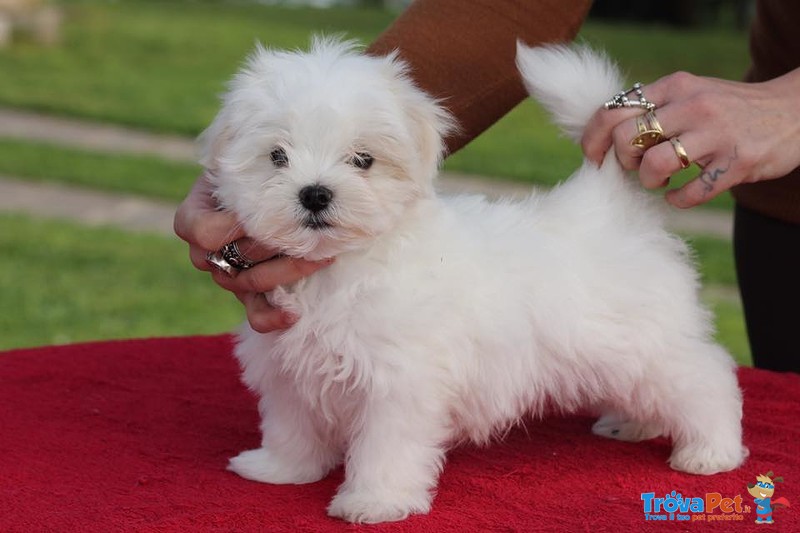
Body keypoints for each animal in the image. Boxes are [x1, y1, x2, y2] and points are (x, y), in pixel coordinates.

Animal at [198, 38, 744, 524]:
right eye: (277, 156)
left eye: (363, 160)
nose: (314, 194)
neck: (340, 265)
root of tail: (607, 205)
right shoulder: (288, 367)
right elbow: (292, 425)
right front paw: (280, 468)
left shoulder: (398, 380)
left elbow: (386, 447)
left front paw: (375, 501)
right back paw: (635, 423)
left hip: (646, 342)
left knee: (705, 380)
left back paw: (711, 450)